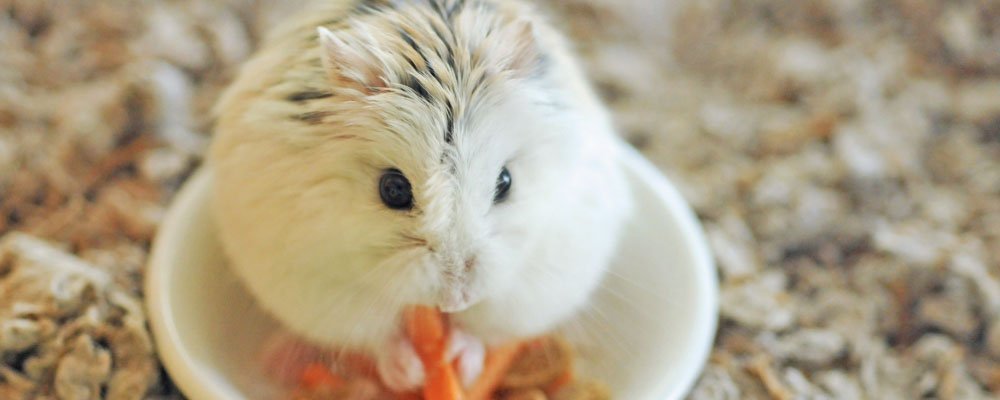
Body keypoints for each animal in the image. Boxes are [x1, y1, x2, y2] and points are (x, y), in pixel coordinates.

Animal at [209, 0, 632, 391]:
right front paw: (409, 373)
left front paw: (458, 359)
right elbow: (375, 334)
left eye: (506, 182)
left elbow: (486, 330)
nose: (455, 301)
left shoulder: (538, 279)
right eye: (393, 190)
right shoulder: (319, 283)